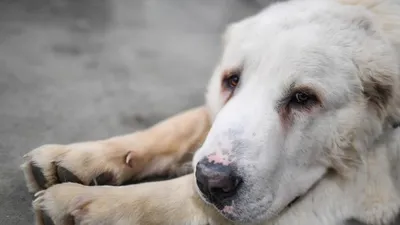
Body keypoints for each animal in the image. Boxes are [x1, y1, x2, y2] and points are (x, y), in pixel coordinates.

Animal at [21, 0, 400, 225]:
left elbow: (186, 196)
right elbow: (180, 125)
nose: (212, 180)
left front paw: (90, 204)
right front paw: (82, 156)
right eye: (231, 80)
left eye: (303, 98)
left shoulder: (369, 183)